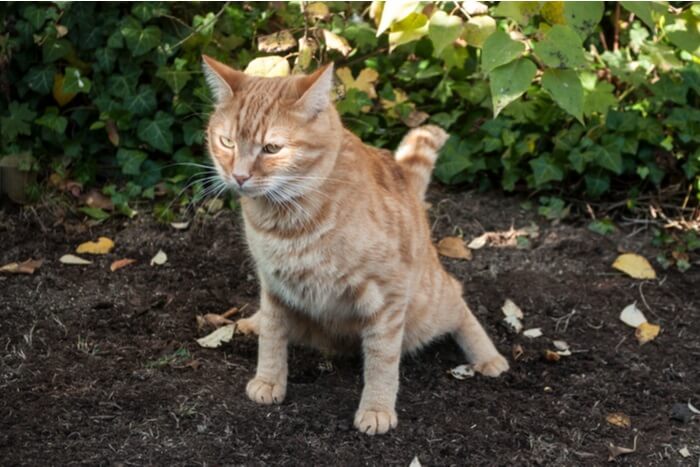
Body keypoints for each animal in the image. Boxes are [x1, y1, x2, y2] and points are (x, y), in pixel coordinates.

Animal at [202, 56, 508, 436]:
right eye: (227, 142)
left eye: (272, 148)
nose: (240, 176)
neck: (289, 220)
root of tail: (404, 175)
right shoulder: (272, 284)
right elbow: (272, 334)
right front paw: (270, 379)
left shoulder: (388, 295)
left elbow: (382, 359)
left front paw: (377, 408)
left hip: (429, 305)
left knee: (458, 300)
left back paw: (488, 357)